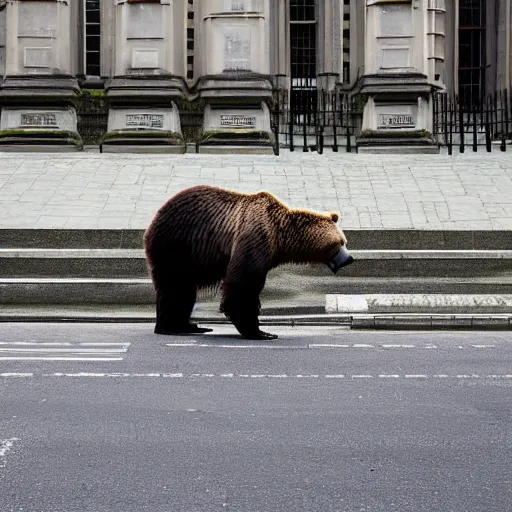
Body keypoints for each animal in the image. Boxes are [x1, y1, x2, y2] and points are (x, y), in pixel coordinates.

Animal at [143, 184, 352, 340]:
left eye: (345, 242)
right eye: (339, 243)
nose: (349, 259)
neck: (280, 237)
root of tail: (152, 221)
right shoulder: (255, 237)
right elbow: (243, 284)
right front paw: (261, 332)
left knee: (184, 292)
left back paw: (191, 326)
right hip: (178, 246)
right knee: (176, 287)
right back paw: (172, 327)